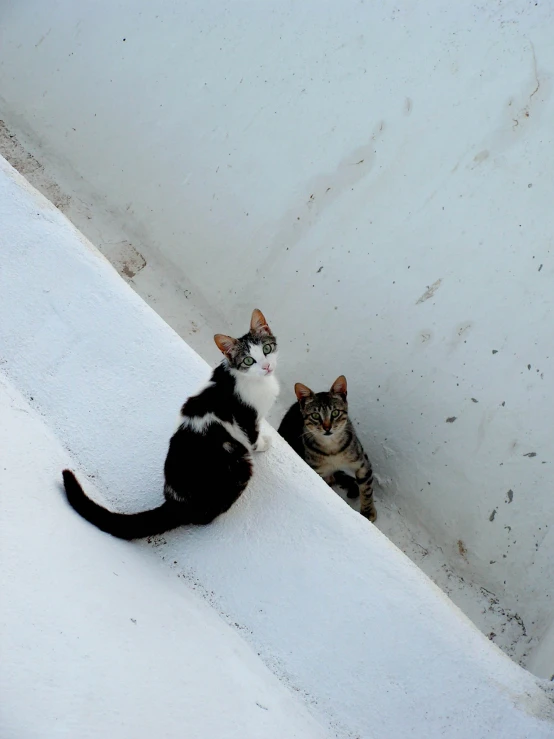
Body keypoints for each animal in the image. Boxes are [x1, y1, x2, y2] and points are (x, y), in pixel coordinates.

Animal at [62, 310, 278, 540]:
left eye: (266, 349)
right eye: (248, 360)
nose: (267, 367)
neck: (244, 377)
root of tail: (176, 502)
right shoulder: (247, 419)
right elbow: (254, 438)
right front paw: (265, 443)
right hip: (239, 463)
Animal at [276, 376, 376, 520]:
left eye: (335, 413)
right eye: (315, 415)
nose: (327, 427)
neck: (332, 449)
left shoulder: (362, 462)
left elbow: (367, 489)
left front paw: (368, 512)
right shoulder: (316, 472)